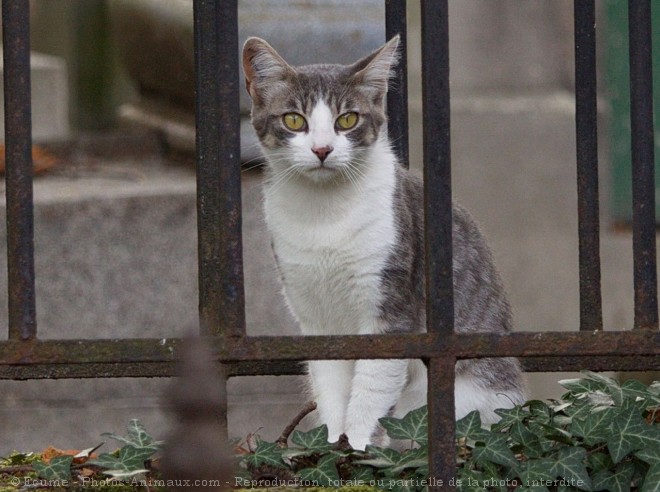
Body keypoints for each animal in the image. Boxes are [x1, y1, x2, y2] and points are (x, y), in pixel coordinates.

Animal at [242, 34, 524, 450]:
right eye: (294, 119)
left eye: (347, 119)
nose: (322, 149)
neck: (324, 214)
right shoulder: (317, 319)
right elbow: (331, 387)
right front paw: (332, 446)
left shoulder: (391, 308)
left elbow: (371, 390)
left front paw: (358, 447)